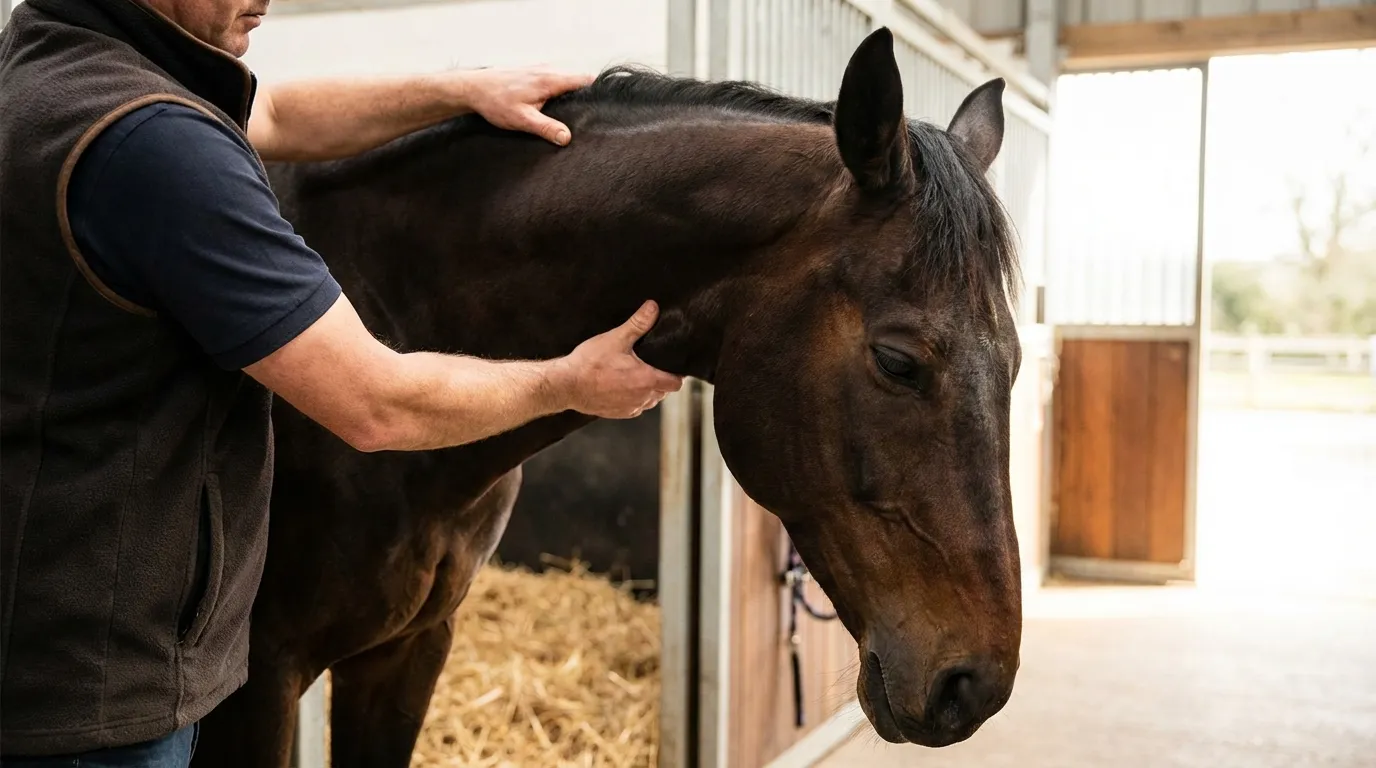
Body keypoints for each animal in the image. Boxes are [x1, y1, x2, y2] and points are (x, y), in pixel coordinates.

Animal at [191, 26, 1025, 767]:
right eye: (897, 360)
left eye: (1016, 362)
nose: (973, 686)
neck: (383, 318)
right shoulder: (258, 678)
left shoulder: (408, 651)